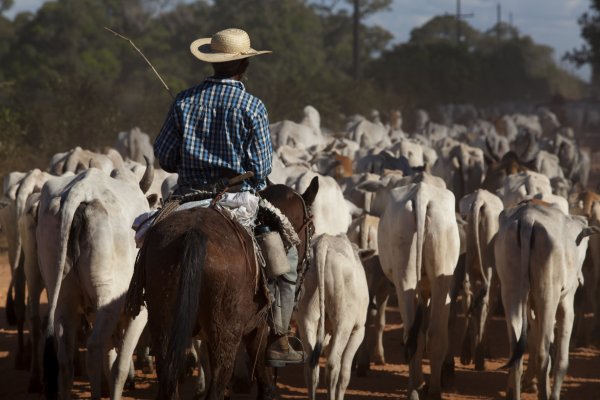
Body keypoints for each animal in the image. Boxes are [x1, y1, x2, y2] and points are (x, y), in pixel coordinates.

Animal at [37, 164, 154, 398]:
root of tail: (81, 190)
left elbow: (110, 362)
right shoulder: (139, 313)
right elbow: (119, 366)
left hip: (63, 295)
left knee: (65, 357)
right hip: (107, 298)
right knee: (93, 349)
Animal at [128, 179, 318, 400]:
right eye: (312, 228)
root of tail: (193, 233)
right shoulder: (257, 326)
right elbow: (260, 367)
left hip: (164, 327)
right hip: (225, 334)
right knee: (217, 385)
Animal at [296, 234, 368, 400]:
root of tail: (324, 242)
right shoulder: (358, 330)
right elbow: (345, 372)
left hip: (307, 318)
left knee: (311, 365)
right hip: (344, 324)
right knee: (332, 365)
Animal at [376, 182, 460, 400]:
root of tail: (422, 195)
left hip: (405, 277)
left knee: (412, 332)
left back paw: (415, 388)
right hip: (440, 272)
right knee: (434, 334)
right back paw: (433, 391)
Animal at [494, 203, 592, 400]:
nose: (581, 278)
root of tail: (527, 218)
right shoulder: (566, 306)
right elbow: (562, 360)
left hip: (510, 293)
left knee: (516, 354)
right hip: (548, 295)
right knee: (543, 354)